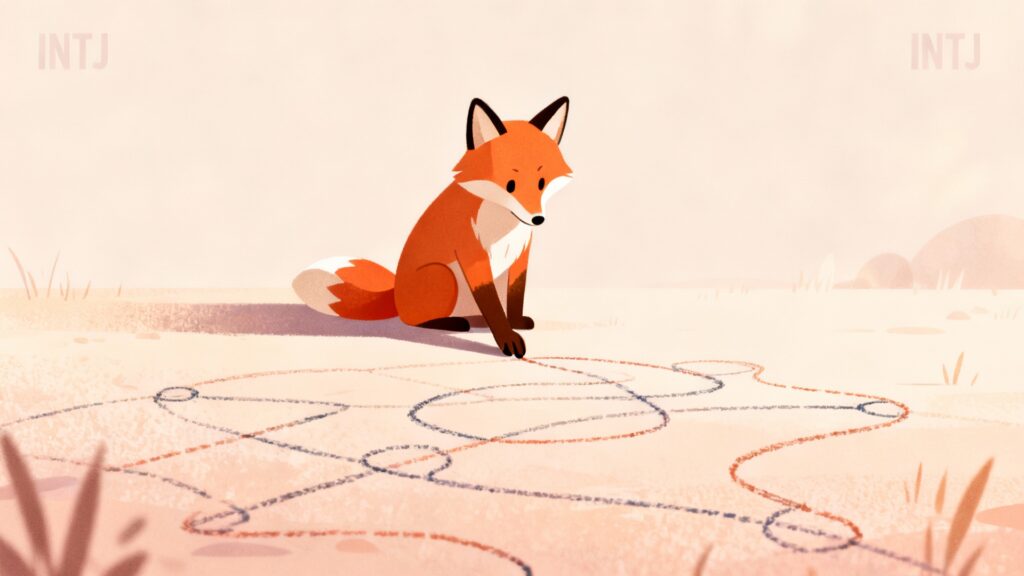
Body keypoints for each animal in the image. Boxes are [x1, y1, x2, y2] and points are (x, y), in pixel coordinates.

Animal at [292, 97, 573, 357]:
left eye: (541, 182)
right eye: (510, 185)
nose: (537, 219)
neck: (504, 222)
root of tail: (395, 295)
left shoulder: (521, 252)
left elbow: (515, 294)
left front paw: (514, 322)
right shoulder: (473, 255)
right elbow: (493, 304)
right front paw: (506, 337)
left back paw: (473, 320)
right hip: (444, 276)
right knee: (414, 321)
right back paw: (454, 323)